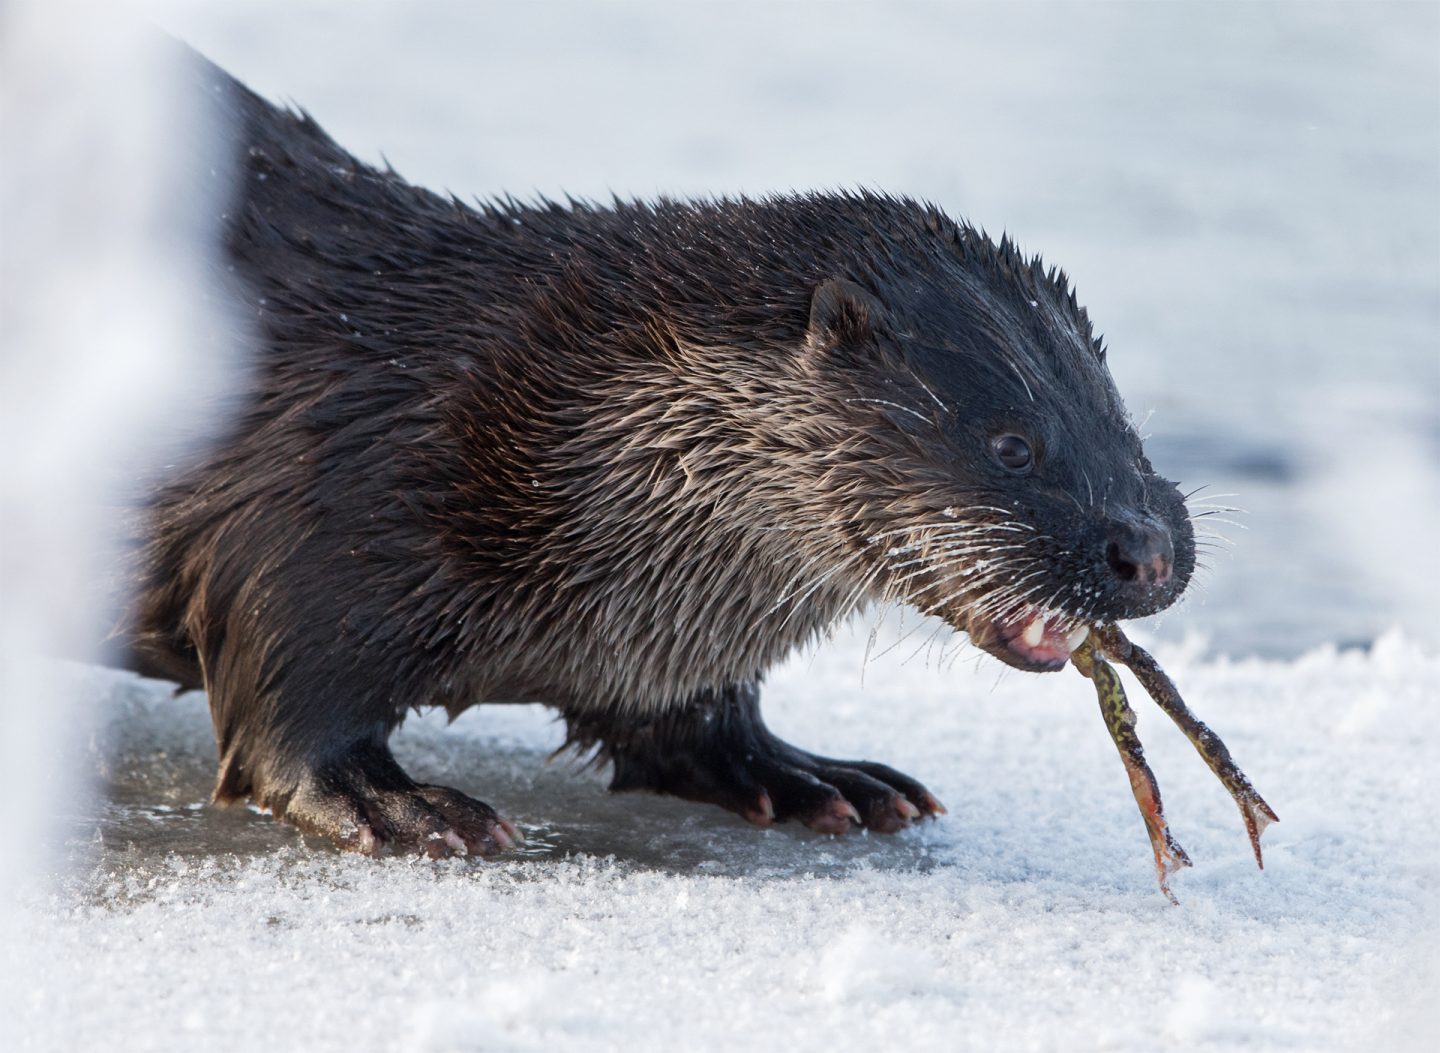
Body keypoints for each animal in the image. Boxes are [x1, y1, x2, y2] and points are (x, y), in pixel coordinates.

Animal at [115, 55, 1192, 858]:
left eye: (1126, 426)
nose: (1148, 548)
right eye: (1012, 443)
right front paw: (397, 805)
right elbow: (286, 716)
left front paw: (806, 774)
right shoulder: (310, 502)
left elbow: (684, 725)